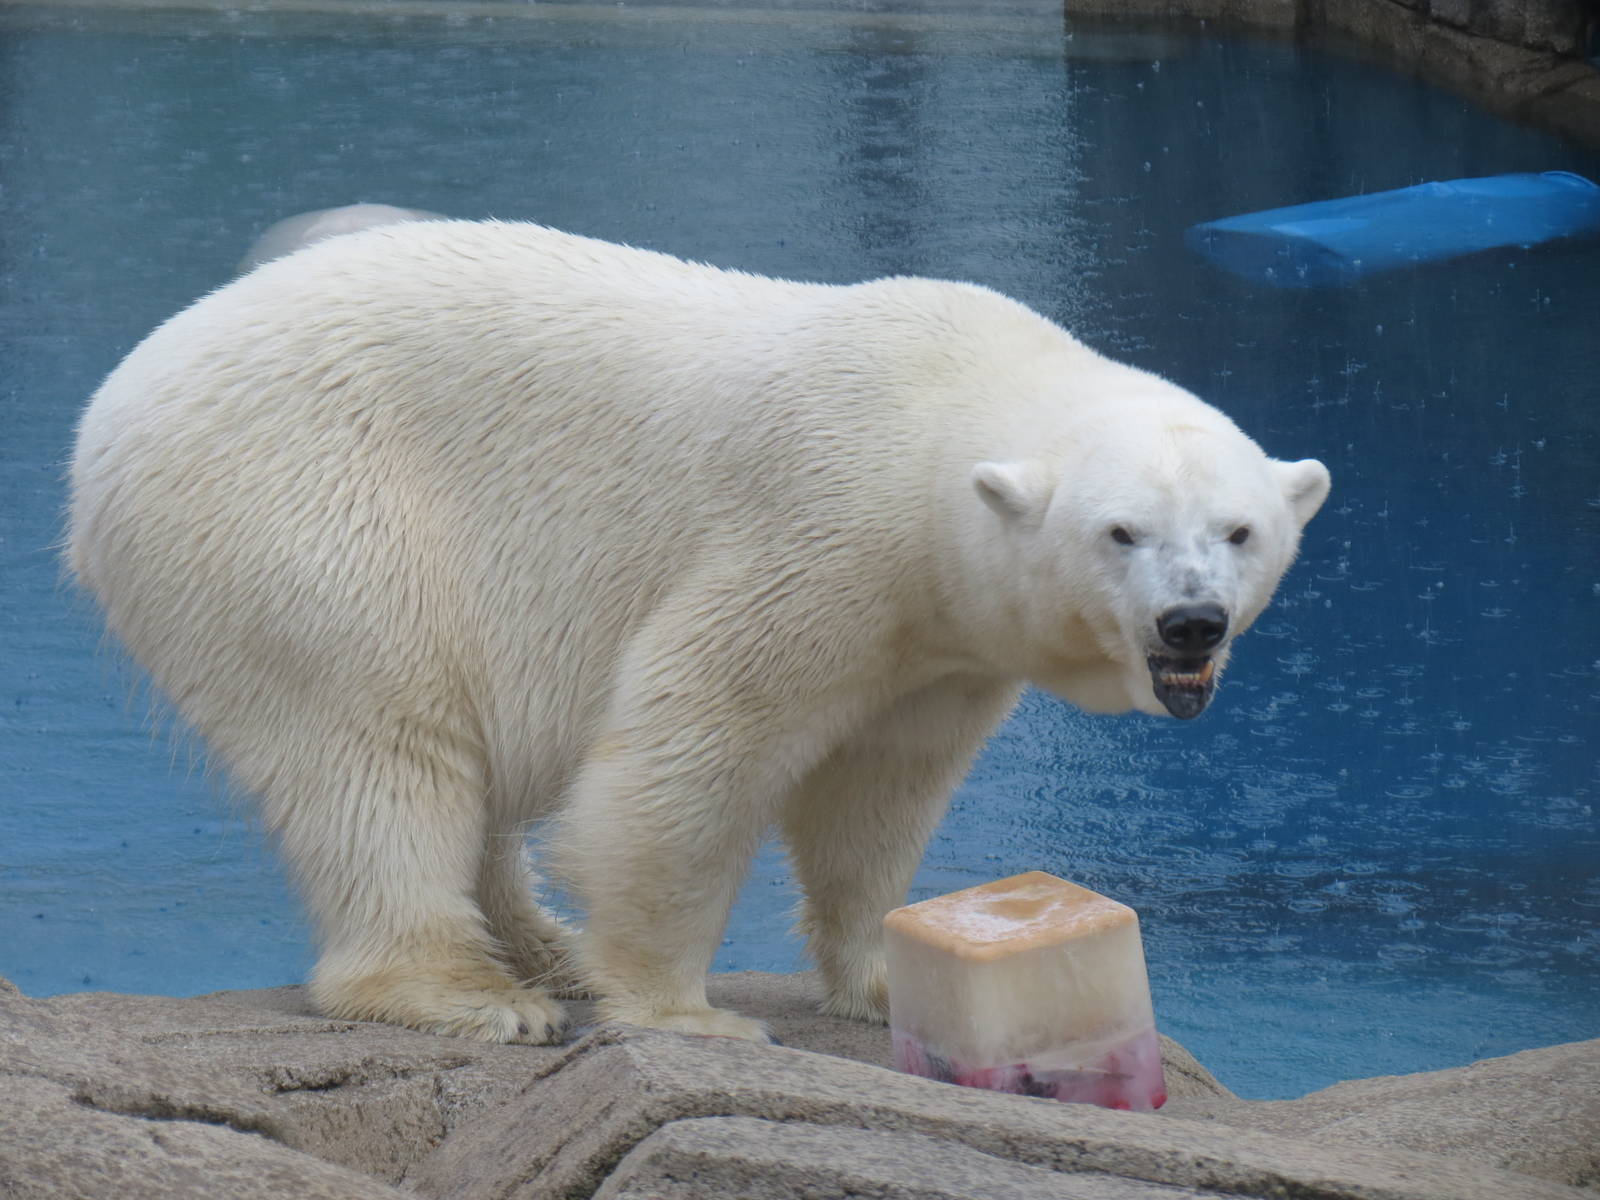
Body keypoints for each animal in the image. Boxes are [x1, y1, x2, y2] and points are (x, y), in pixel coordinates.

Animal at [68, 221, 1330, 1044]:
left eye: (1238, 530)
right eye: (1121, 531)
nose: (1189, 621)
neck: (943, 403)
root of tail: (112, 408)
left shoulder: (939, 638)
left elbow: (878, 791)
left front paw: (886, 975)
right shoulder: (820, 531)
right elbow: (700, 742)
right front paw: (689, 1014)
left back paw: (542, 947)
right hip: (307, 518)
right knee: (377, 751)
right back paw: (472, 993)